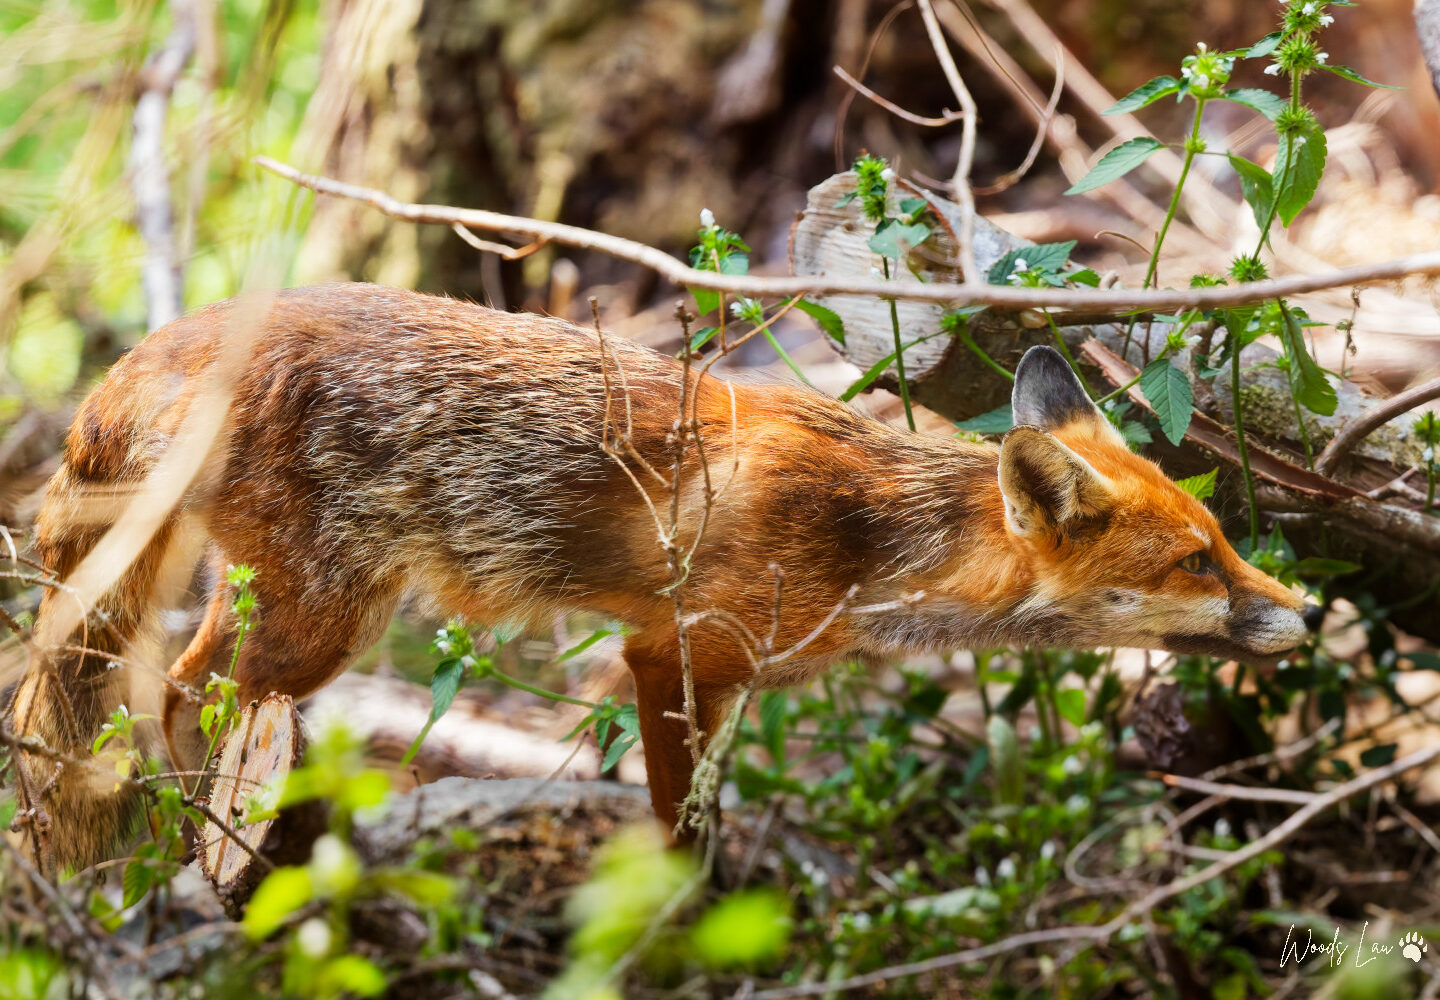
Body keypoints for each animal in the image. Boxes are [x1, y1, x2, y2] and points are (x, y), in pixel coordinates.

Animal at [7, 282, 1320, 874]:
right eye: (1197, 560)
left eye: (1222, 536)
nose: (1306, 611)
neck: (871, 542)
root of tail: (179, 335)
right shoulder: (678, 653)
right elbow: (682, 836)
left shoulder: (731, 679)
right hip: (326, 618)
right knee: (176, 696)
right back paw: (187, 844)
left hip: (282, 606)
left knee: (158, 685)